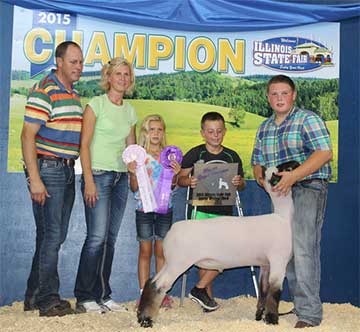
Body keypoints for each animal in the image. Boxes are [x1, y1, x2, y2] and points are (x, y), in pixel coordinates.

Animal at [136, 162, 296, 328]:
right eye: (279, 171)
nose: (295, 165)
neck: (283, 217)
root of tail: (171, 232)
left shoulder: (265, 265)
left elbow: (263, 291)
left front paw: (259, 316)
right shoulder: (278, 261)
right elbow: (274, 292)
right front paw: (272, 320)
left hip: (171, 262)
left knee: (151, 282)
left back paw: (142, 317)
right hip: (178, 263)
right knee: (159, 286)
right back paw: (147, 320)